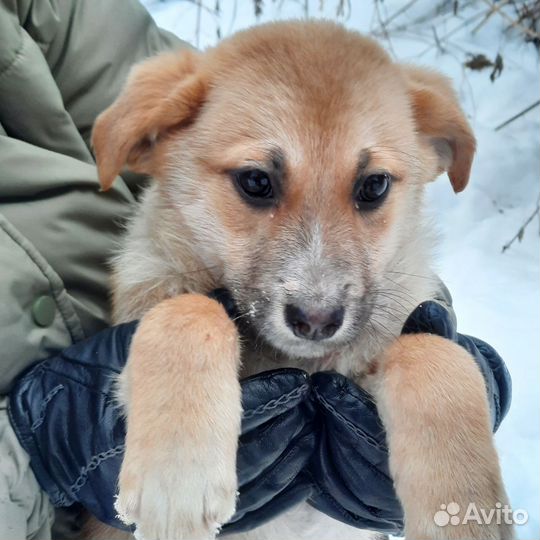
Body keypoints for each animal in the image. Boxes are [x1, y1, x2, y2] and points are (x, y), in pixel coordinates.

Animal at [90, 20, 512, 540]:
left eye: (374, 186)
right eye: (255, 181)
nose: (316, 321)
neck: (304, 368)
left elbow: (434, 353)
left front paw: (462, 506)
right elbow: (190, 309)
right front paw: (176, 476)